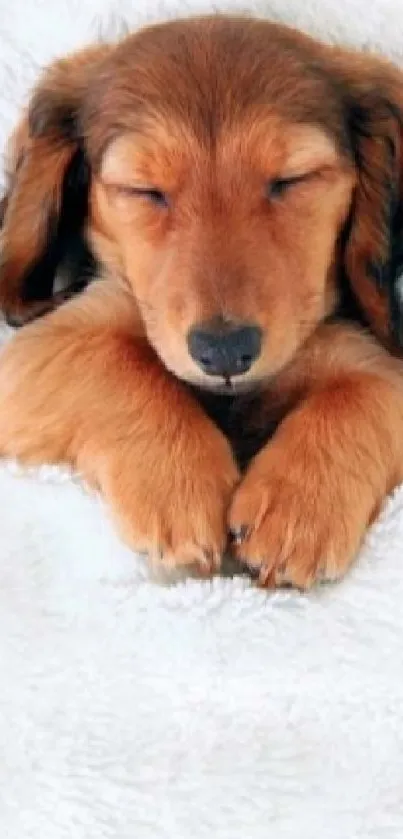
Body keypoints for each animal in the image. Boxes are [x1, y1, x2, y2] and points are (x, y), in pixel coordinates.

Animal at [0, 14, 403, 592]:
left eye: (291, 180)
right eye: (144, 190)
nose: (225, 352)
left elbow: (367, 391)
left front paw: (298, 509)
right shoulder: (41, 345)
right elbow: (114, 359)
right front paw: (180, 483)